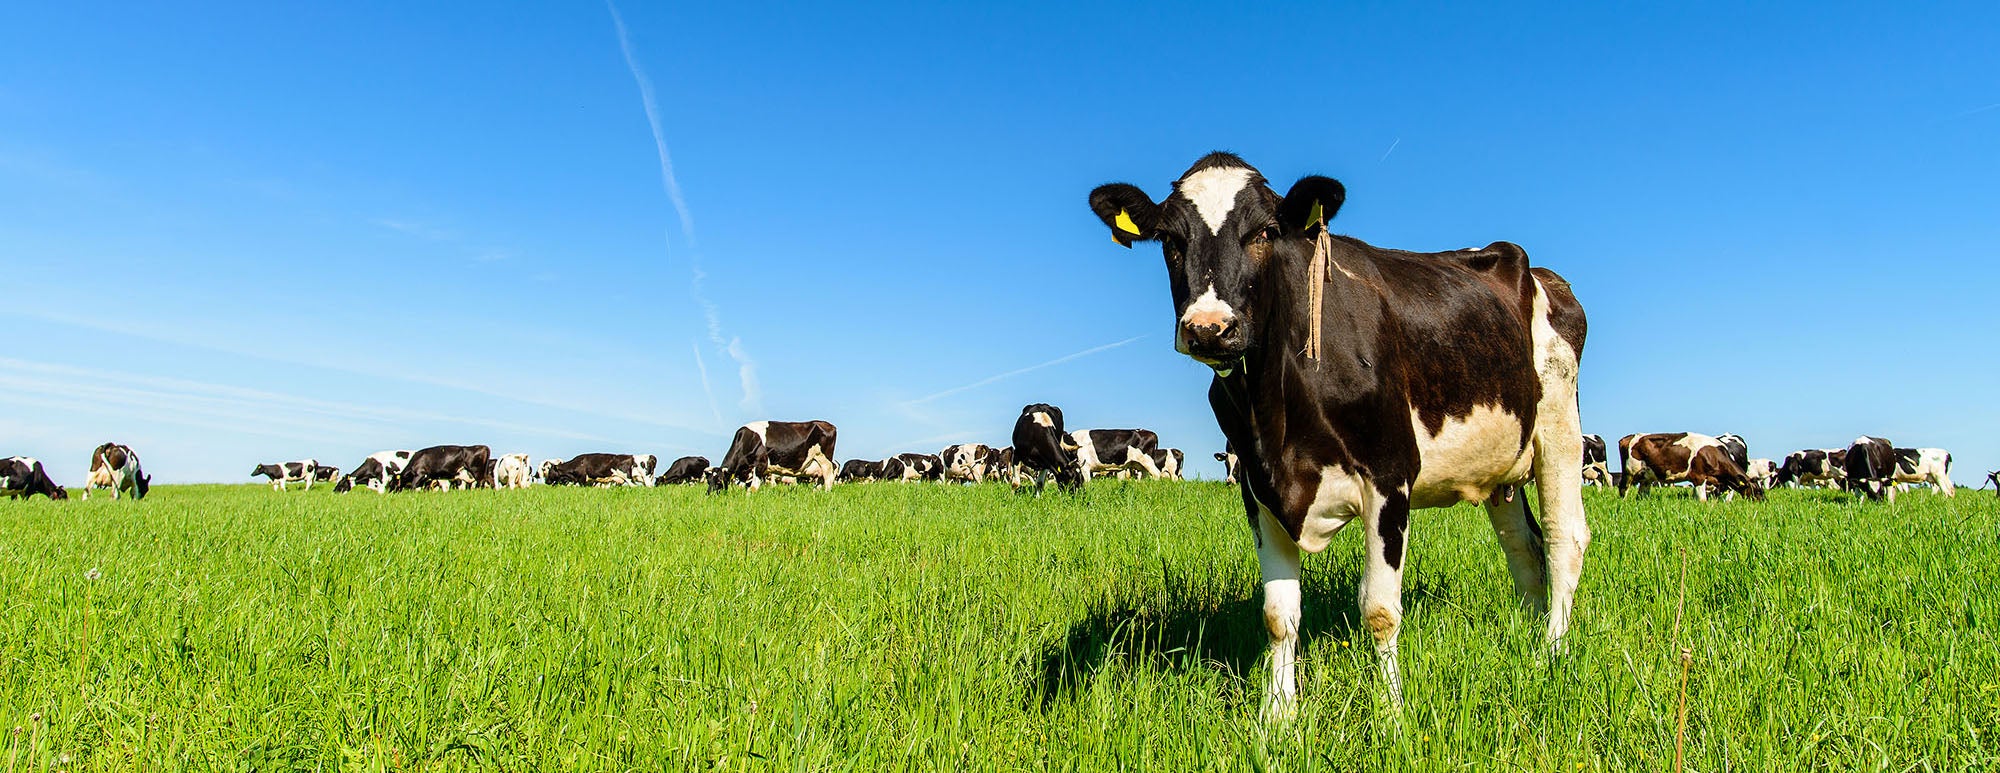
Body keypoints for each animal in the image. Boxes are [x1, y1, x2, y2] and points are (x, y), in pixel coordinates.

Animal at [707, 421, 838, 493]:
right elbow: (742, 486)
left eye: (718, 481)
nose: (709, 495)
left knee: (828, 479)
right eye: (709, 481)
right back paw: (815, 492)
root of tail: (830, 425)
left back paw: (826, 493)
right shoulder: (746, 471)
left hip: (824, 460)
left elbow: (753, 488)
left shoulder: (760, 464)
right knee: (821, 480)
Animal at [1089, 152, 1588, 714]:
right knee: (1522, 548)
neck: (1276, 412)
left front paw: (1391, 711)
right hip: (1502, 462)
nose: (1209, 328)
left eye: (1265, 232)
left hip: (1560, 425)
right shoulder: (1257, 487)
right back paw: (1529, 638)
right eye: (1171, 239)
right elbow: (1279, 614)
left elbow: (1380, 610)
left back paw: (1550, 651)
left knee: (1563, 538)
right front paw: (1277, 715)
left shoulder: (1390, 472)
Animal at [1618, 433, 1765, 501]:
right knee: (1623, 488)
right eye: (1757, 491)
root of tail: (1627, 437)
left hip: (1646, 477)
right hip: (1629, 471)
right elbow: (1703, 500)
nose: (1763, 502)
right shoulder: (1698, 477)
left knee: (1642, 494)